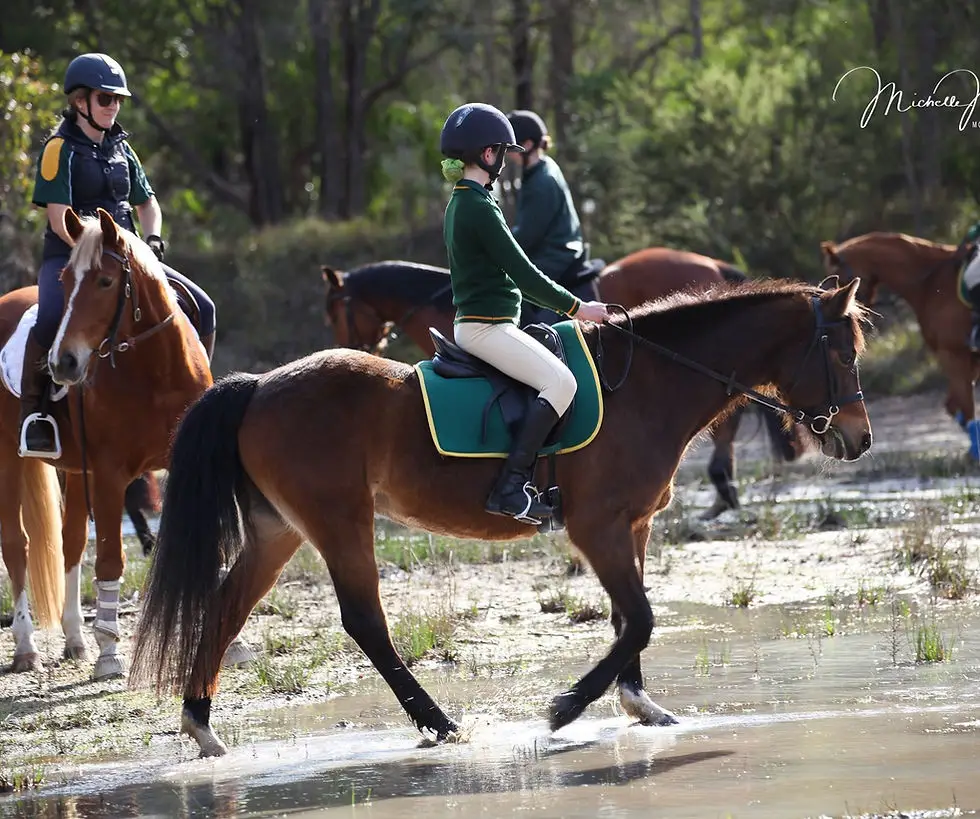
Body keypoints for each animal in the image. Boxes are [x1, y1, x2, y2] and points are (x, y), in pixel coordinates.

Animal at [0, 207, 251, 678]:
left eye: (104, 281)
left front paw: (233, 644)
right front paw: (110, 653)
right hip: (8, 457)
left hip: (74, 468)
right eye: (65, 281)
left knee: (71, 541)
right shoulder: (111, 475)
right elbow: (111, 558)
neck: (157, 370)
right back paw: (27, 647)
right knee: (16, 543)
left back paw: (75, 640)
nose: (63, 363)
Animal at [129, 276, 872, 758]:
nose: (858, 440)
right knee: (364, 622)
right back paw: (440, 723)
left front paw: (638, 703)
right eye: (842, 353)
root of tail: (259, 385)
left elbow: (628, 619)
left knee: (226, 607)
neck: (648, 383)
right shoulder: (598, 527)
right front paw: (566, 706)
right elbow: (640, 617)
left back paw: (201, 724)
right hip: (339, 522)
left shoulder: (631, 526)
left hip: (278, 530)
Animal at [820, 232, 978, 454]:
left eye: (837, 279)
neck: (930, 283)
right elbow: (955, 406)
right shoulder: (963, 358)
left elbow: (966, 407)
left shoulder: (954, 354)